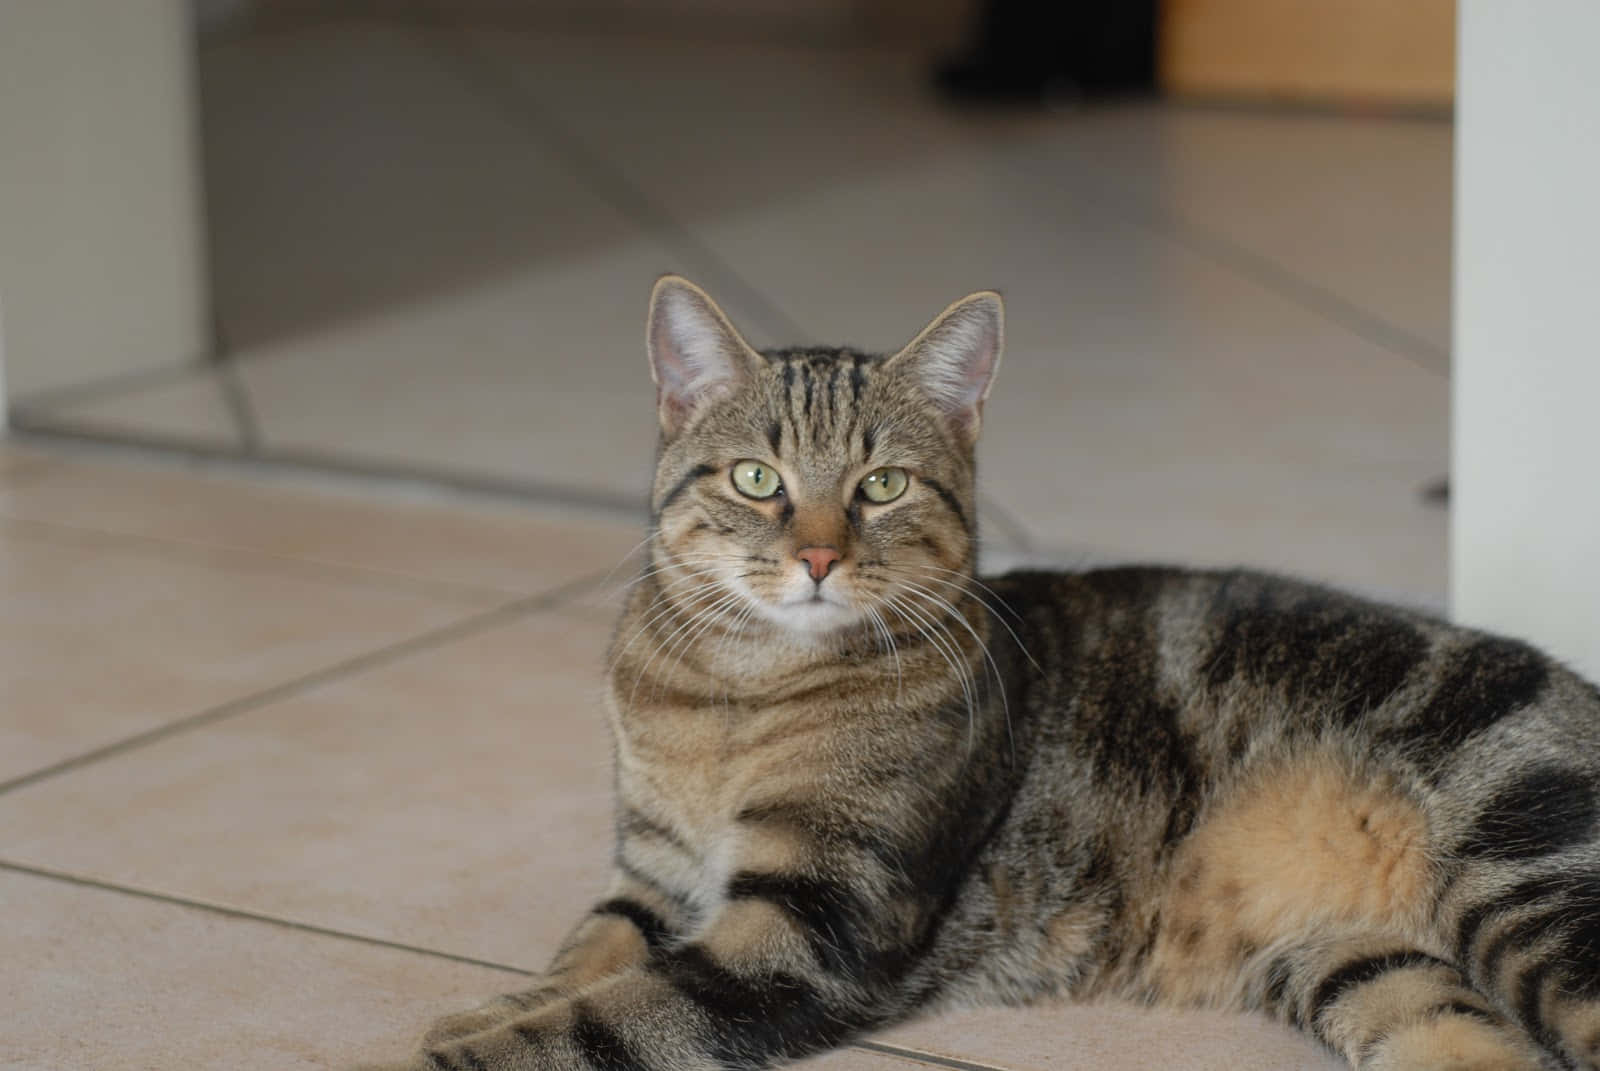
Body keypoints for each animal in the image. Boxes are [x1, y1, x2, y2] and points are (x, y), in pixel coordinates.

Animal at [368, 278, 1600, 1069]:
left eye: (882, 487)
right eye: (759, 478)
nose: (818, 556)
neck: (735, 689)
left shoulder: (815, 922)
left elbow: (608, 1013)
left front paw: (452, 1047)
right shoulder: (654, 873)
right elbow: (584, 958)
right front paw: (490, 1001)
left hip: (1527, 877)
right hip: (1377, 971)